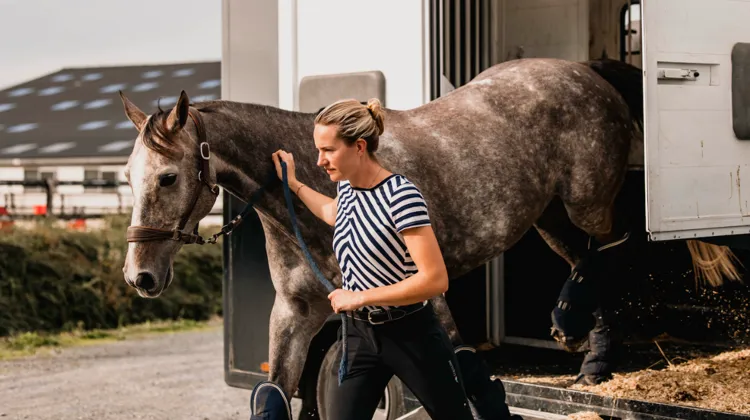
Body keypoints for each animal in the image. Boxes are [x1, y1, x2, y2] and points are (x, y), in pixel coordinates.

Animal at [118, 57, 740, 417]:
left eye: (168, 177)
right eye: (126, 175)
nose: (139, 276)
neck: (317, 186)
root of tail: (587, 72)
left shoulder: (429, 298)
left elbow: (467, 382)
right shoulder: (294, 314)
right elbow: (273, 393)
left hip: (587, 201)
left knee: (616, 246)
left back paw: (580, 336)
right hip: (549, 215)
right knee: (586, 258)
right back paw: (587, 350)